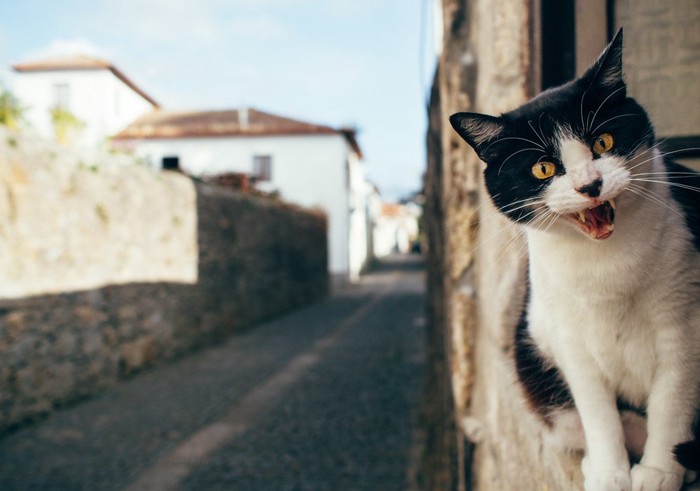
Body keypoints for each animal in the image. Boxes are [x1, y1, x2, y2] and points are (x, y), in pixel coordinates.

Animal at [448, 30, 700, 491]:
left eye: (603, 142)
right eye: (543, 168)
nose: (590, 185)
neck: (606, 265)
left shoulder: (685, 324)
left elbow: (672, 401)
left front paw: (658, 472)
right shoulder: (568, 337)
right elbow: (597, 411)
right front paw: (609, 473)